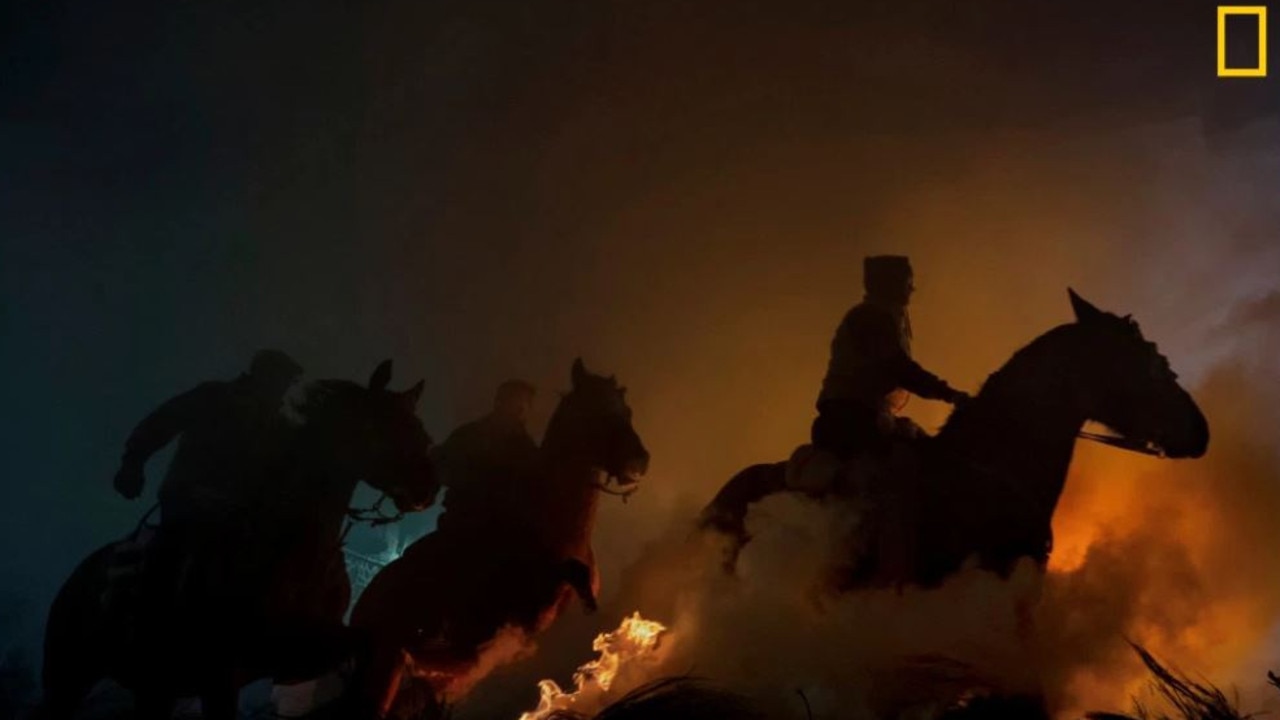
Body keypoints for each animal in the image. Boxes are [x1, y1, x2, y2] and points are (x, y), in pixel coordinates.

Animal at [41, 358, 440, 717]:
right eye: (382, 423)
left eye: (419, 427)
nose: (428, 487)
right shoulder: (221, 674)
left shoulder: (303, 651)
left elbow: (366, 647)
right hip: (68, 678)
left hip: (155, 689)